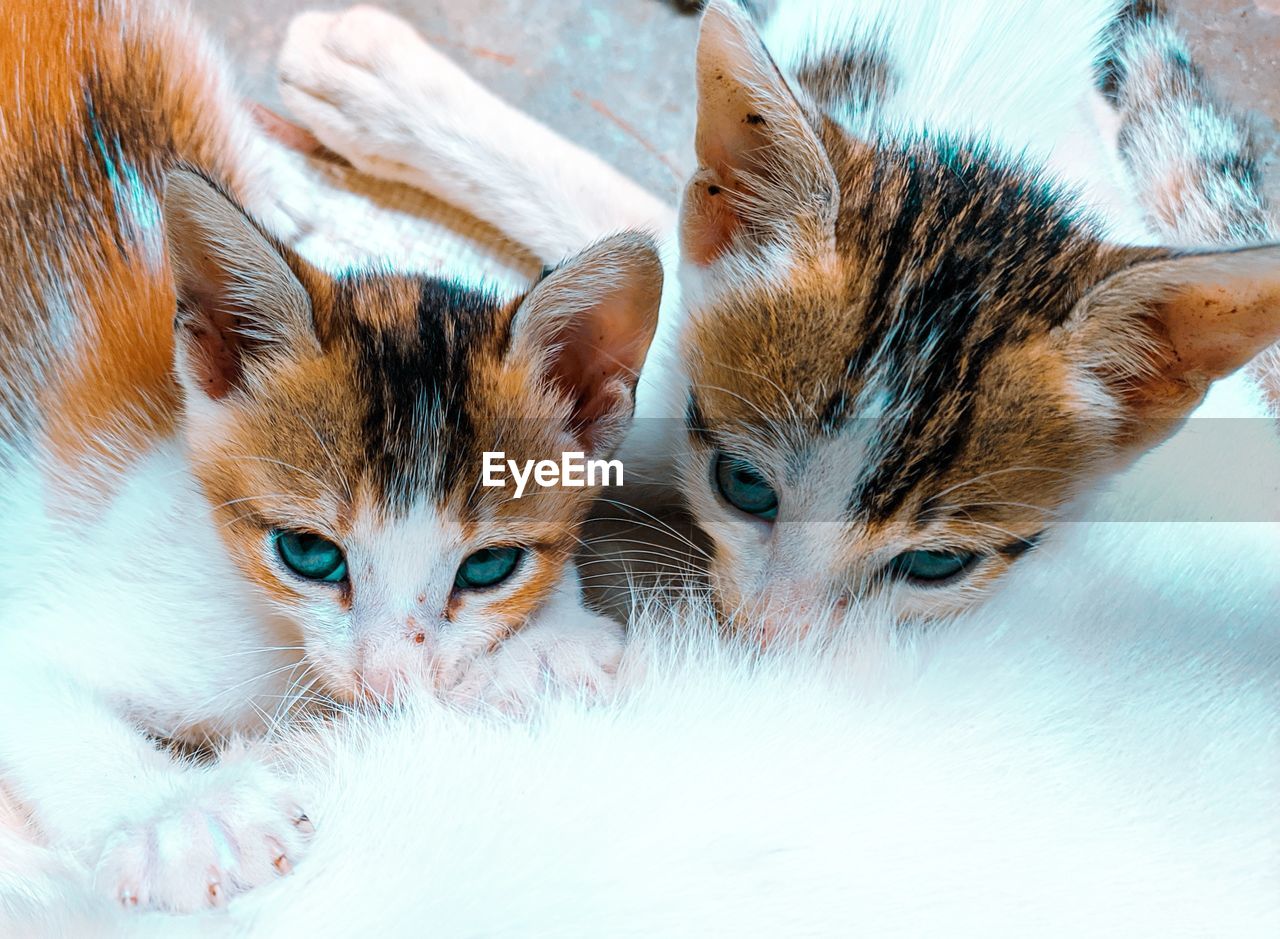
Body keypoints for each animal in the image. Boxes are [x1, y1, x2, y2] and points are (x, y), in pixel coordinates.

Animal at [0, 0, 660, 915]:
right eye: (308, 553)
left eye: (489, 567)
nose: (384, 688)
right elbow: (31, 677)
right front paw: (181, 815)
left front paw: (543, 646)